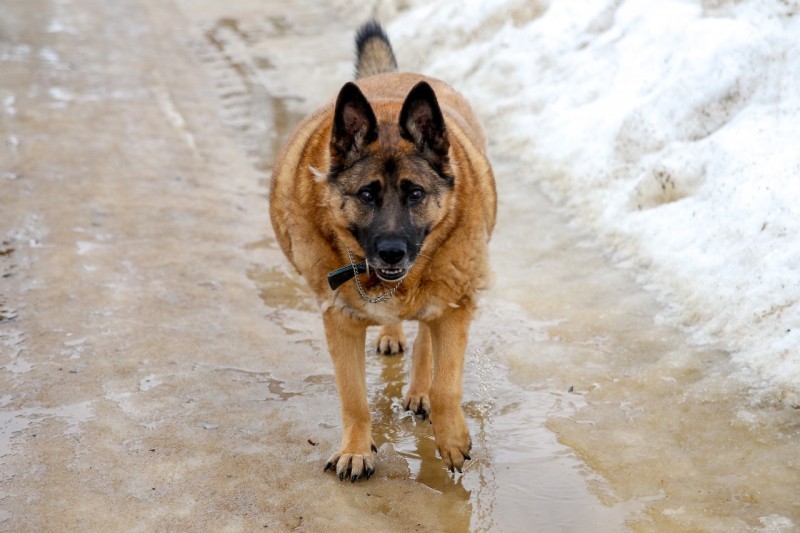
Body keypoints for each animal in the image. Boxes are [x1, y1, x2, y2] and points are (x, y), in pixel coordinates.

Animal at [268, 20, 494, 480]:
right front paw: (356, 450)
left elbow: (446, 384)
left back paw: (418, 389)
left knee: (425, 338)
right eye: (367, 194)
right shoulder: (339, 320)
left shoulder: (455, 305)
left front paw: (451, 438)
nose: (391, 253)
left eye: (415, 194)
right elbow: (353, 397)